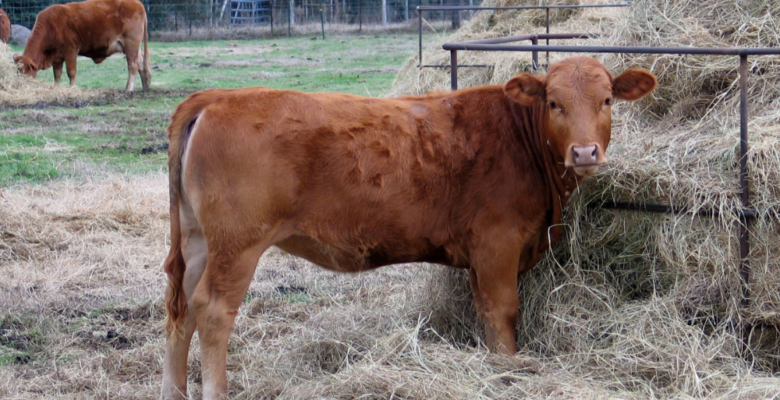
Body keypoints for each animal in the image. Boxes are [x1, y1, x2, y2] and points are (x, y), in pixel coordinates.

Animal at [12, 0, 151, 91]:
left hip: (131, 43)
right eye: (17, 72)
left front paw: (72, 88)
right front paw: (56, 88)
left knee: (133, 65)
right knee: (141, 62)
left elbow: (71, 72)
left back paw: (128, 89)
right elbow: (57, 74)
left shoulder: (71, 50)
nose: (19, 86)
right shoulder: (57, 57)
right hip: (132, 47)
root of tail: (137, 3)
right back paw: (145, 86)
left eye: (24, 71)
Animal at [161, 57, 656, 400]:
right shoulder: (498, 243)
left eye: (607, 100)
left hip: (198, 241)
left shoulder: (478, 257)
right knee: (212, 310)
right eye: (554, 102)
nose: (585, 152)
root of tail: (217, 96)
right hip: (237, 245)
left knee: (180, 311)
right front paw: (506, 371)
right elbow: (503, 314)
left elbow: (485, 314)